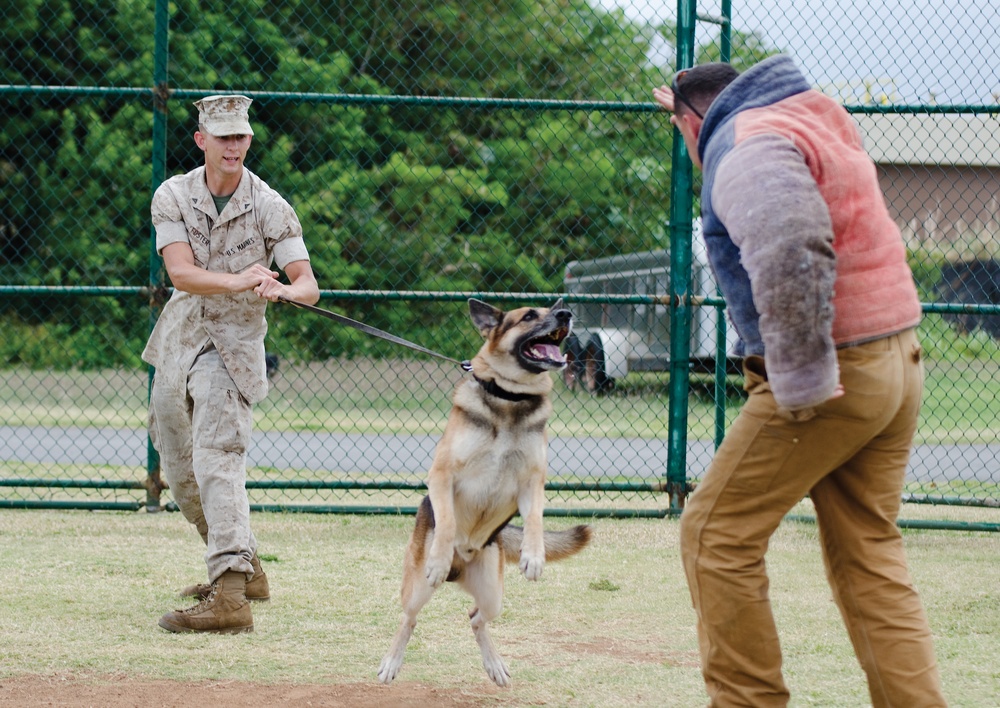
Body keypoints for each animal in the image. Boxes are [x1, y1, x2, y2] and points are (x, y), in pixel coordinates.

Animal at [378, 298, 588, 684]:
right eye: (529, 316)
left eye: (552, 307)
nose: (566, 314)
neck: (511, 398)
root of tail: (461, 570)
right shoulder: (442, 476)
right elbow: (447, 522)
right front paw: (439, 557)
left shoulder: (532, 482)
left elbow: (535, 520)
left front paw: (533, 556)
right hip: (418, 590)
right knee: (408, 618)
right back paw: (392, 662)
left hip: (493, 595)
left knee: (475, 617)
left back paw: (495, 665)